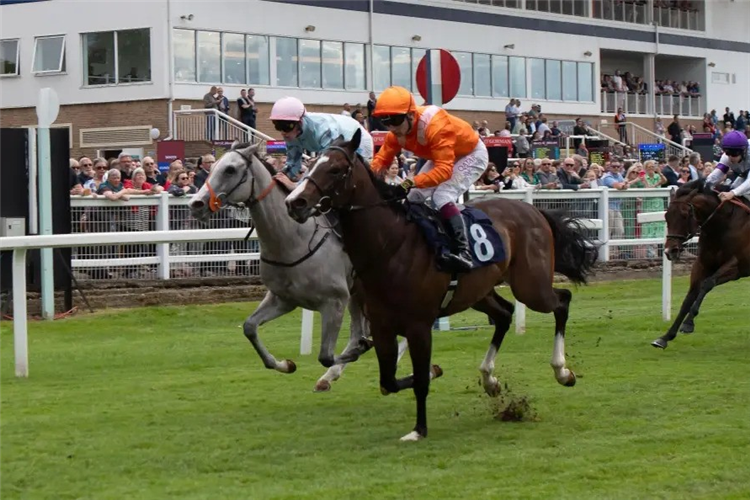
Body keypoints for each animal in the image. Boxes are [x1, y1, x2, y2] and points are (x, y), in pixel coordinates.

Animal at [189, 142, 383, 392]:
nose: (196, 204)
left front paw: (361, 349)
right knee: (358, 331)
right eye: (211, 168)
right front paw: (285, 364)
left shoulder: (335, 301)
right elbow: (249, 327)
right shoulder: (284, 299)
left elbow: (327, 355)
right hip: (357, 293)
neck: (292, 240)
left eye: (230, 169)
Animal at [285, 130, 598, 441]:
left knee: (561, 301)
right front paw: (433, 374)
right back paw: (490, 379)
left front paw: (419, 429)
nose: (294, 202)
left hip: (530, 286)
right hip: (479, 292)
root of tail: (534, 210)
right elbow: (388, 382)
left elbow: (419, 380)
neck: (390, 245)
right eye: (313, 162)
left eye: (335, 169)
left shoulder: (419, 326)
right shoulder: (382, 326)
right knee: (504, 314)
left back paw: (562, 371)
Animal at [651, 179, 750, 349]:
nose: (670, 251)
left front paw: (688, 324)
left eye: (684, 215)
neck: (723, 226)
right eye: (666, 216)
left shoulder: (737, 266)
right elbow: (689, 298)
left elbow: (707, 284)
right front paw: (665, 337)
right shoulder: (702, 264)